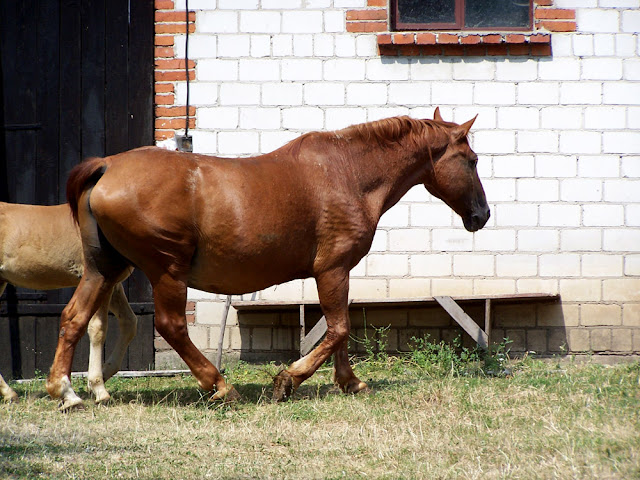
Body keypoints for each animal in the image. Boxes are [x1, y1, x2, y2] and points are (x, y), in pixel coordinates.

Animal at [0, 202, 136, 404]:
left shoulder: (114, 283)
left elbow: (129, 322)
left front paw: (102, 375)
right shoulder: (100, 279)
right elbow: (98, 328)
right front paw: (99, 388)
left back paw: (9, 393)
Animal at [46, 109, 490, 408]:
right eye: (471, 160)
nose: (481, 215)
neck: (348, 171)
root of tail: (106, 167)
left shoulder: (337, 272)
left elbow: (340, 329)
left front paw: (350, 382)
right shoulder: (332, 268)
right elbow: (339, 328)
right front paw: (289, 380)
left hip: (104, 268)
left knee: (74, 317)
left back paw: (65, 390)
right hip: (166, 270)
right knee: (172, 326)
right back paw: (220, 385)